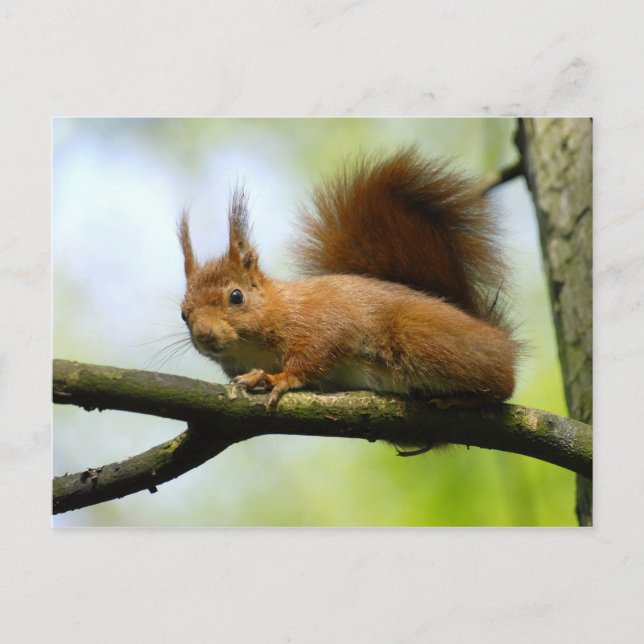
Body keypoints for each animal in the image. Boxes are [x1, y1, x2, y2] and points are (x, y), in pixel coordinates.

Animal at [179, 148, 519, 413]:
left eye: (236, 296)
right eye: (184, 313)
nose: (204, 334)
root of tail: (497, 336)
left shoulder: (322, 319)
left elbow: (320, 349)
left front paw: (278, 378)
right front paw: (258, 376)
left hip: (421, 337)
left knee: (503, 384)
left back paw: (464, 398)